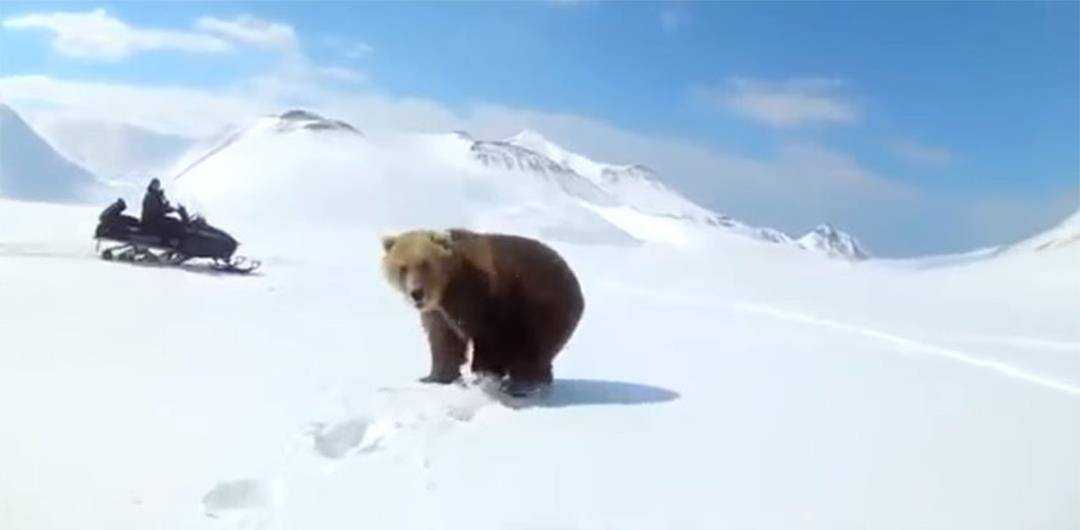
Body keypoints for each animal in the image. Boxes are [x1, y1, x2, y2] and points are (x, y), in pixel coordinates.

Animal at [380, 228, 585, 397]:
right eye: (403, 267)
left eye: (425, 264)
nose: (416, 293)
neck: (447, 287)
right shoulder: (439, 313)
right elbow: (443, 341)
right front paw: (434, 378)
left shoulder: (484, 298)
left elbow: (488, 339)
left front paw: (483, 379)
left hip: (540, 304)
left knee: (530, 348)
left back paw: (522, 386)